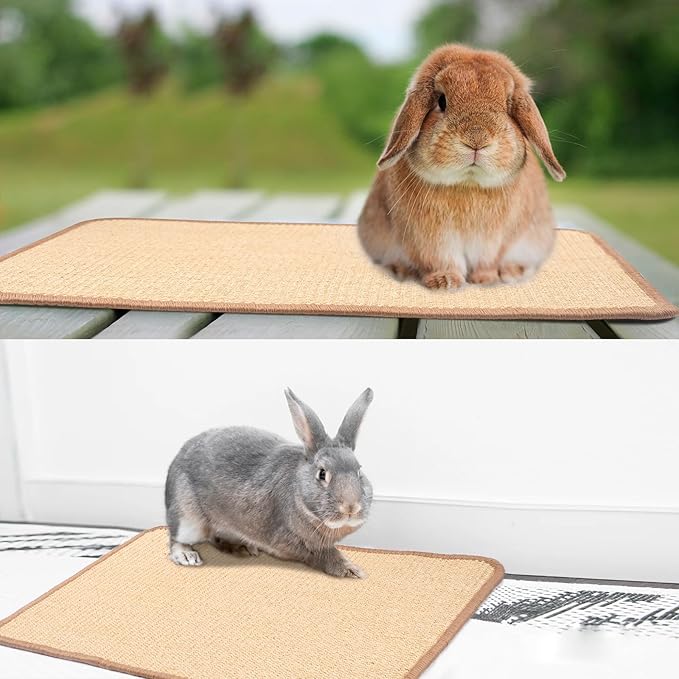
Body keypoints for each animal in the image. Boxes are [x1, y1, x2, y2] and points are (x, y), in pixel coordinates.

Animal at [165, 387, 374, 578]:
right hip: (188, 518)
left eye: (359, 470)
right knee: (176, 539)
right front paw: (351, 570)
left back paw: (242, 547)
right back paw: (187, 556)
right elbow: (325, 554)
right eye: (322, 474)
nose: (350, 507)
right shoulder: (295, 541)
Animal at [358, 43, 566, 289]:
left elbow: (488, 260)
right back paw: (400, 270)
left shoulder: (493, 240)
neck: (467, 182)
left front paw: (486, 280)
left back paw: (512, 272)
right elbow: (438, 259)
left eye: (508, 105)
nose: (477, 140)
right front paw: (444, 282)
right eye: (441, 101)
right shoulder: (429, 239)